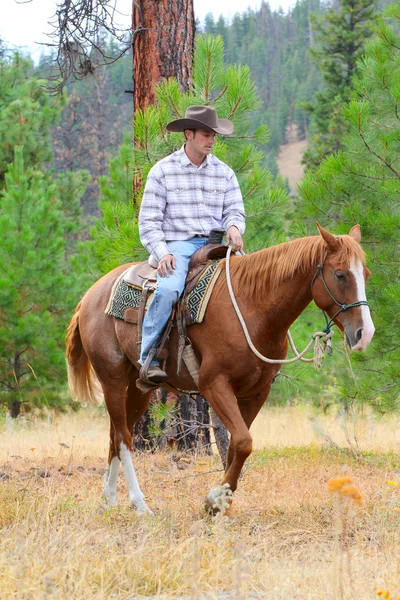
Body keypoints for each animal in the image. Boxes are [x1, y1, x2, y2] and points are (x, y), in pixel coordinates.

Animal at [65, 223, 376, 512]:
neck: (253, 308)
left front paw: (220, 500)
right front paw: (214, 502)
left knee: (116, 435)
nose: (365, 333)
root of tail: (91, 294)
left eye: (366, 274)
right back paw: (140, 504)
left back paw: (109, 499)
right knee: (123, 438)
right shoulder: (213, 385)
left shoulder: (256, 392)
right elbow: (243, 442)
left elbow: (236, 446)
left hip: (140, 387)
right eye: (340, 274)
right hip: (112, 379)